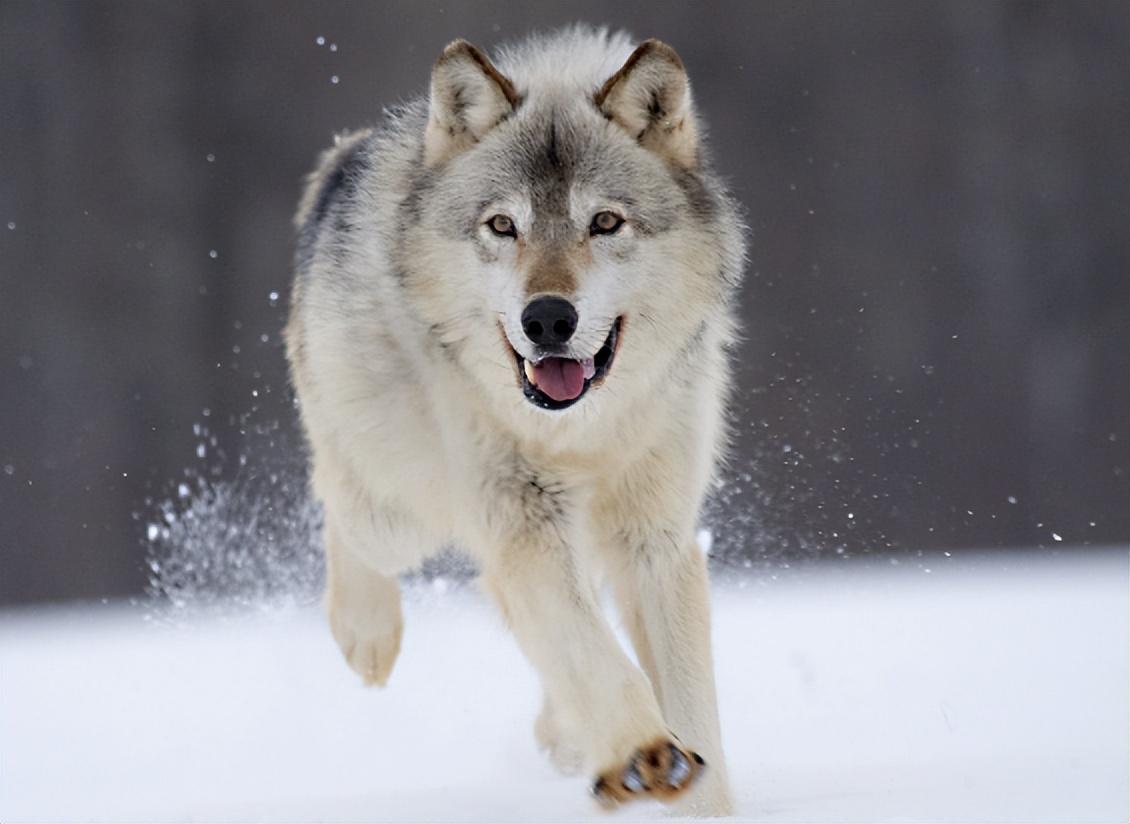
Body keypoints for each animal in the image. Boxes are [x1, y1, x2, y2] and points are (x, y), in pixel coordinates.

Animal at [284, 25, 741, 818]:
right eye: (503, 225)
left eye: (605, 222)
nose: (548, 318)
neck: (581, 433)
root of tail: (344, 157)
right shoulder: (523, 522)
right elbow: (595, 655)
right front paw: (642, 754)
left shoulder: (655, 540)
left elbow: (686, 701)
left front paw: (691, 790)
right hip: (398, 507)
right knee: (341, 506)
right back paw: (366, 635)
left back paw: (566, 737)